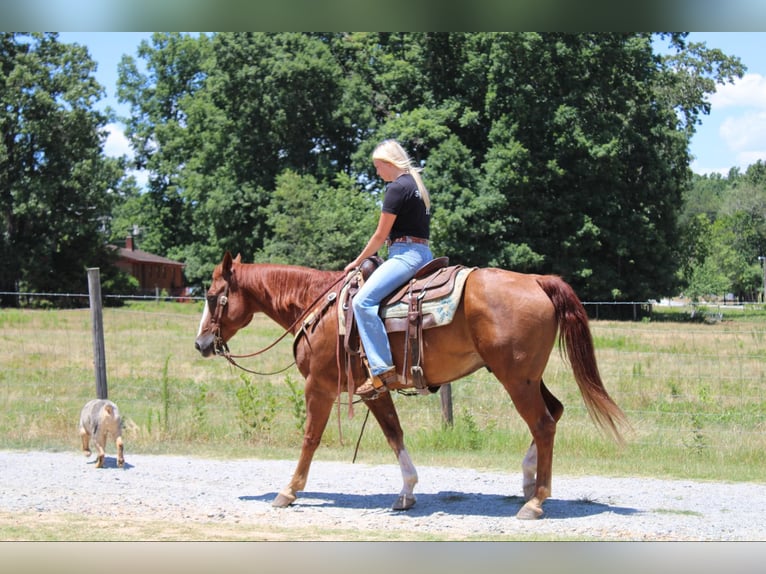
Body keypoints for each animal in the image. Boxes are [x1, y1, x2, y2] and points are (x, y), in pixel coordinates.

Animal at [195, 251, 627, 519]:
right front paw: (407, 492)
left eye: (214, 296)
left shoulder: (319, 387)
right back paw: (527, 481)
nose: (201, 344)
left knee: (543, 423)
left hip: (516, 379)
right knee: (554, 411)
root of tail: (539, 281)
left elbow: (310, 439)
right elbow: (394, 433)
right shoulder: (373, 389)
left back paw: (536, 501)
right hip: (526, 377)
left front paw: (288, 492)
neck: (319, 308)